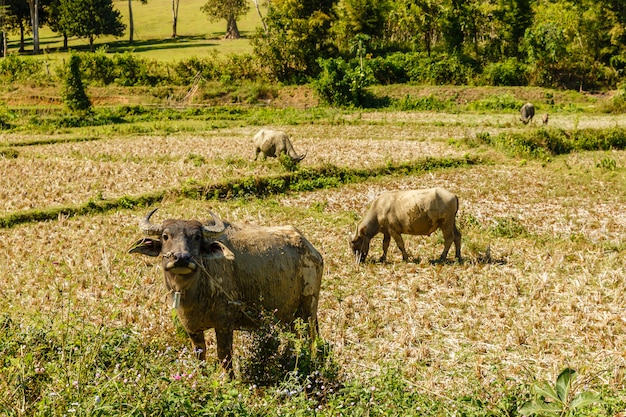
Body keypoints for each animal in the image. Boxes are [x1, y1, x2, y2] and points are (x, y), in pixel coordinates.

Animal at [127, 208, 322, 374]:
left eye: (197, 237)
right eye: (166, 236)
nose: (181, 258)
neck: (195, 294)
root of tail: (311, 249)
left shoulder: (224, 323)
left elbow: (224, 356)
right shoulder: (191, 328)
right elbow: (200, 355)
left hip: (309, 309)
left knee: (311, 338)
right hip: (290, 317)